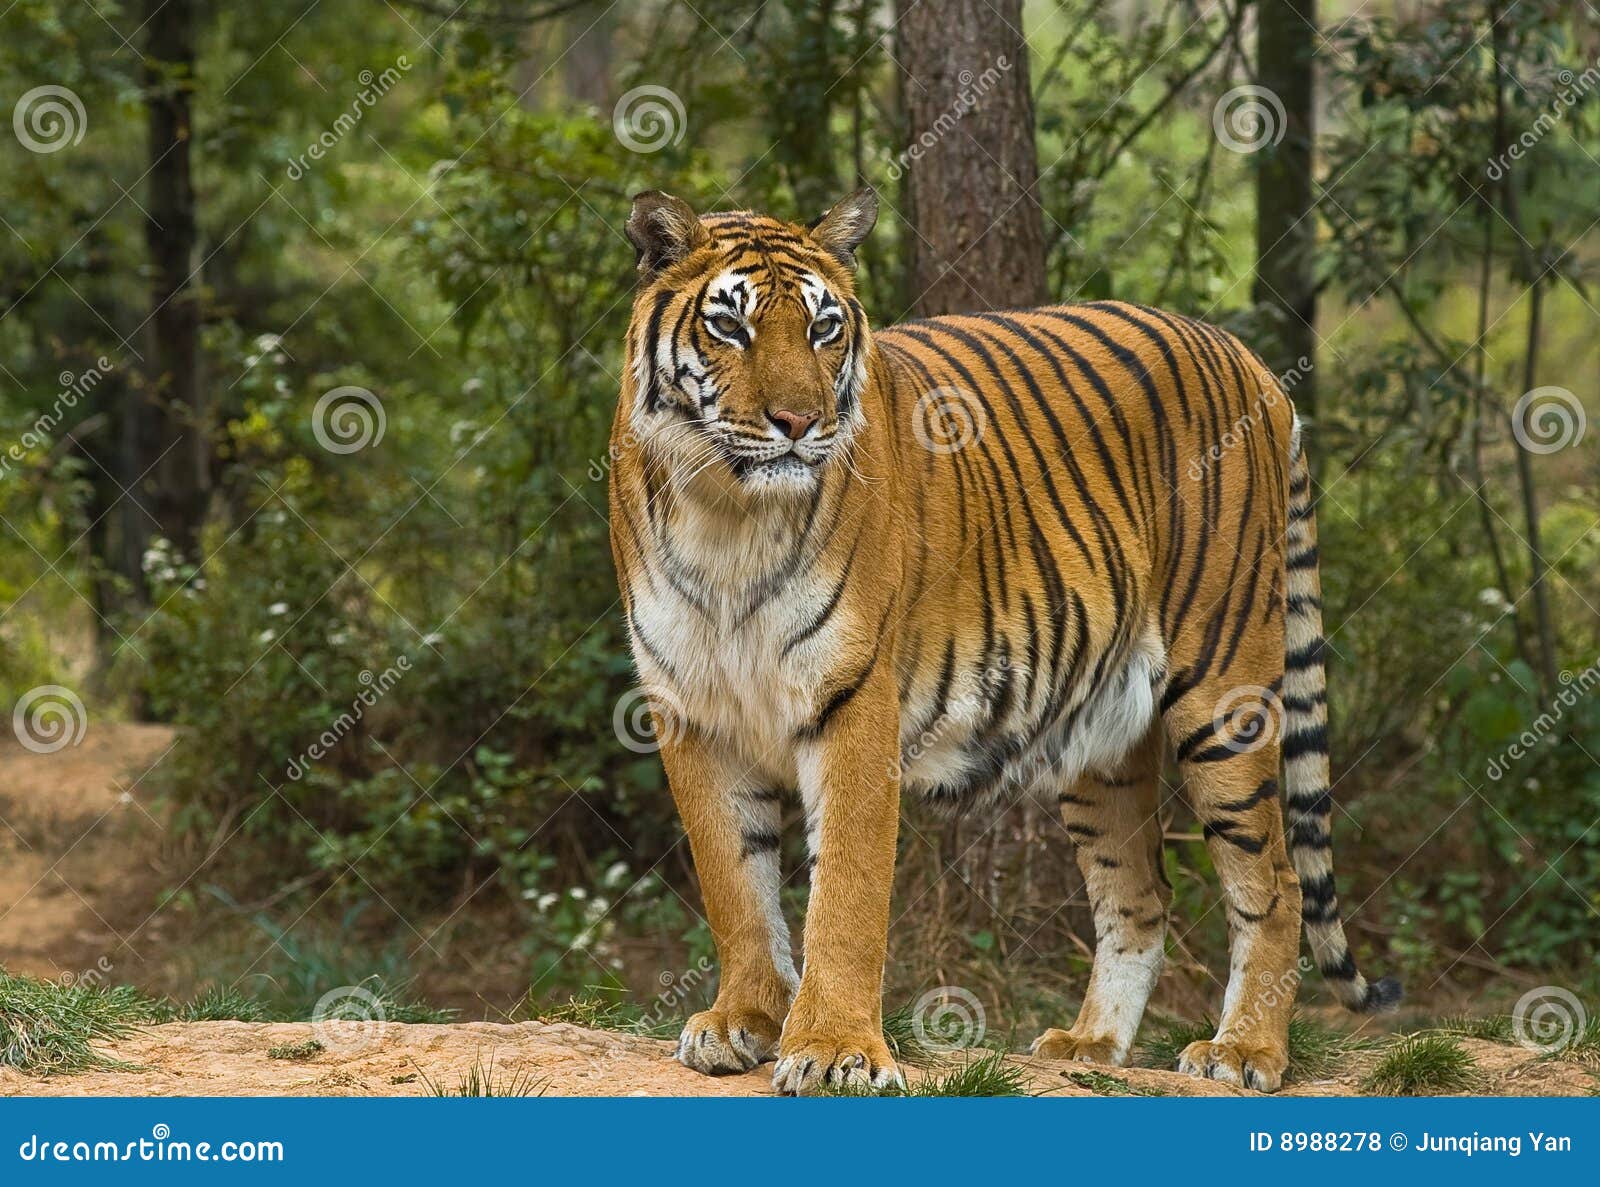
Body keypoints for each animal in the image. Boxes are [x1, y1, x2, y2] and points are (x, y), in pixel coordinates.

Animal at [607, 186, 1400, 1096]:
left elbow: (844, 892)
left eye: (823, 328)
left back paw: (1243, 1050)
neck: (726, 516)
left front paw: (836, 1047)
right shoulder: (691, 712)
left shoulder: (854, 701)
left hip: (1223, 696)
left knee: (1275, 882)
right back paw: (1089, 1045)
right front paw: (742, 1021)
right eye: (730, 326)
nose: (799, 422)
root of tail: (1253, 362)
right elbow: (735, 885)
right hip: (1101, 741)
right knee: (1140, 895)